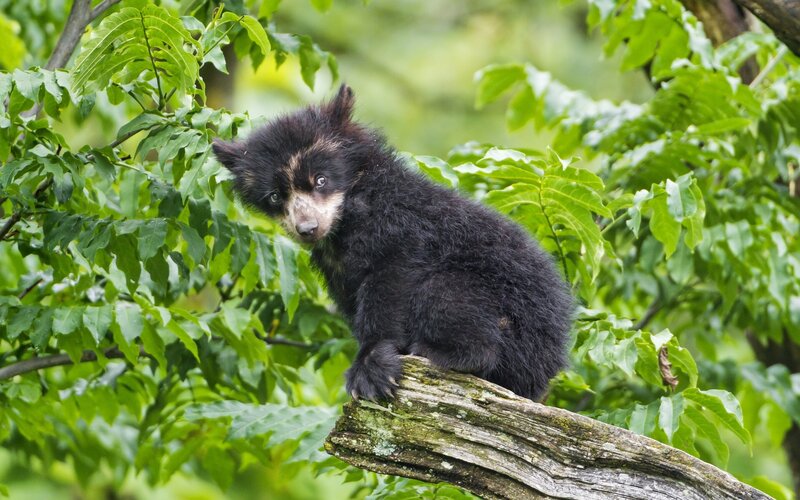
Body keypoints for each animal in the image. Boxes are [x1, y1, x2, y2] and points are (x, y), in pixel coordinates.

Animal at [212, 84, 573, 401]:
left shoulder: (400, 226)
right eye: (276, 196)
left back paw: (438, 353)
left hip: (504, 316)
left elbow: (391, 280)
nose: (308, 228)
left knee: (444, 295)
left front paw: (371, 368)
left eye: (321, 180)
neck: (345, 223)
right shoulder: (336, 271)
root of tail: (544, 370)